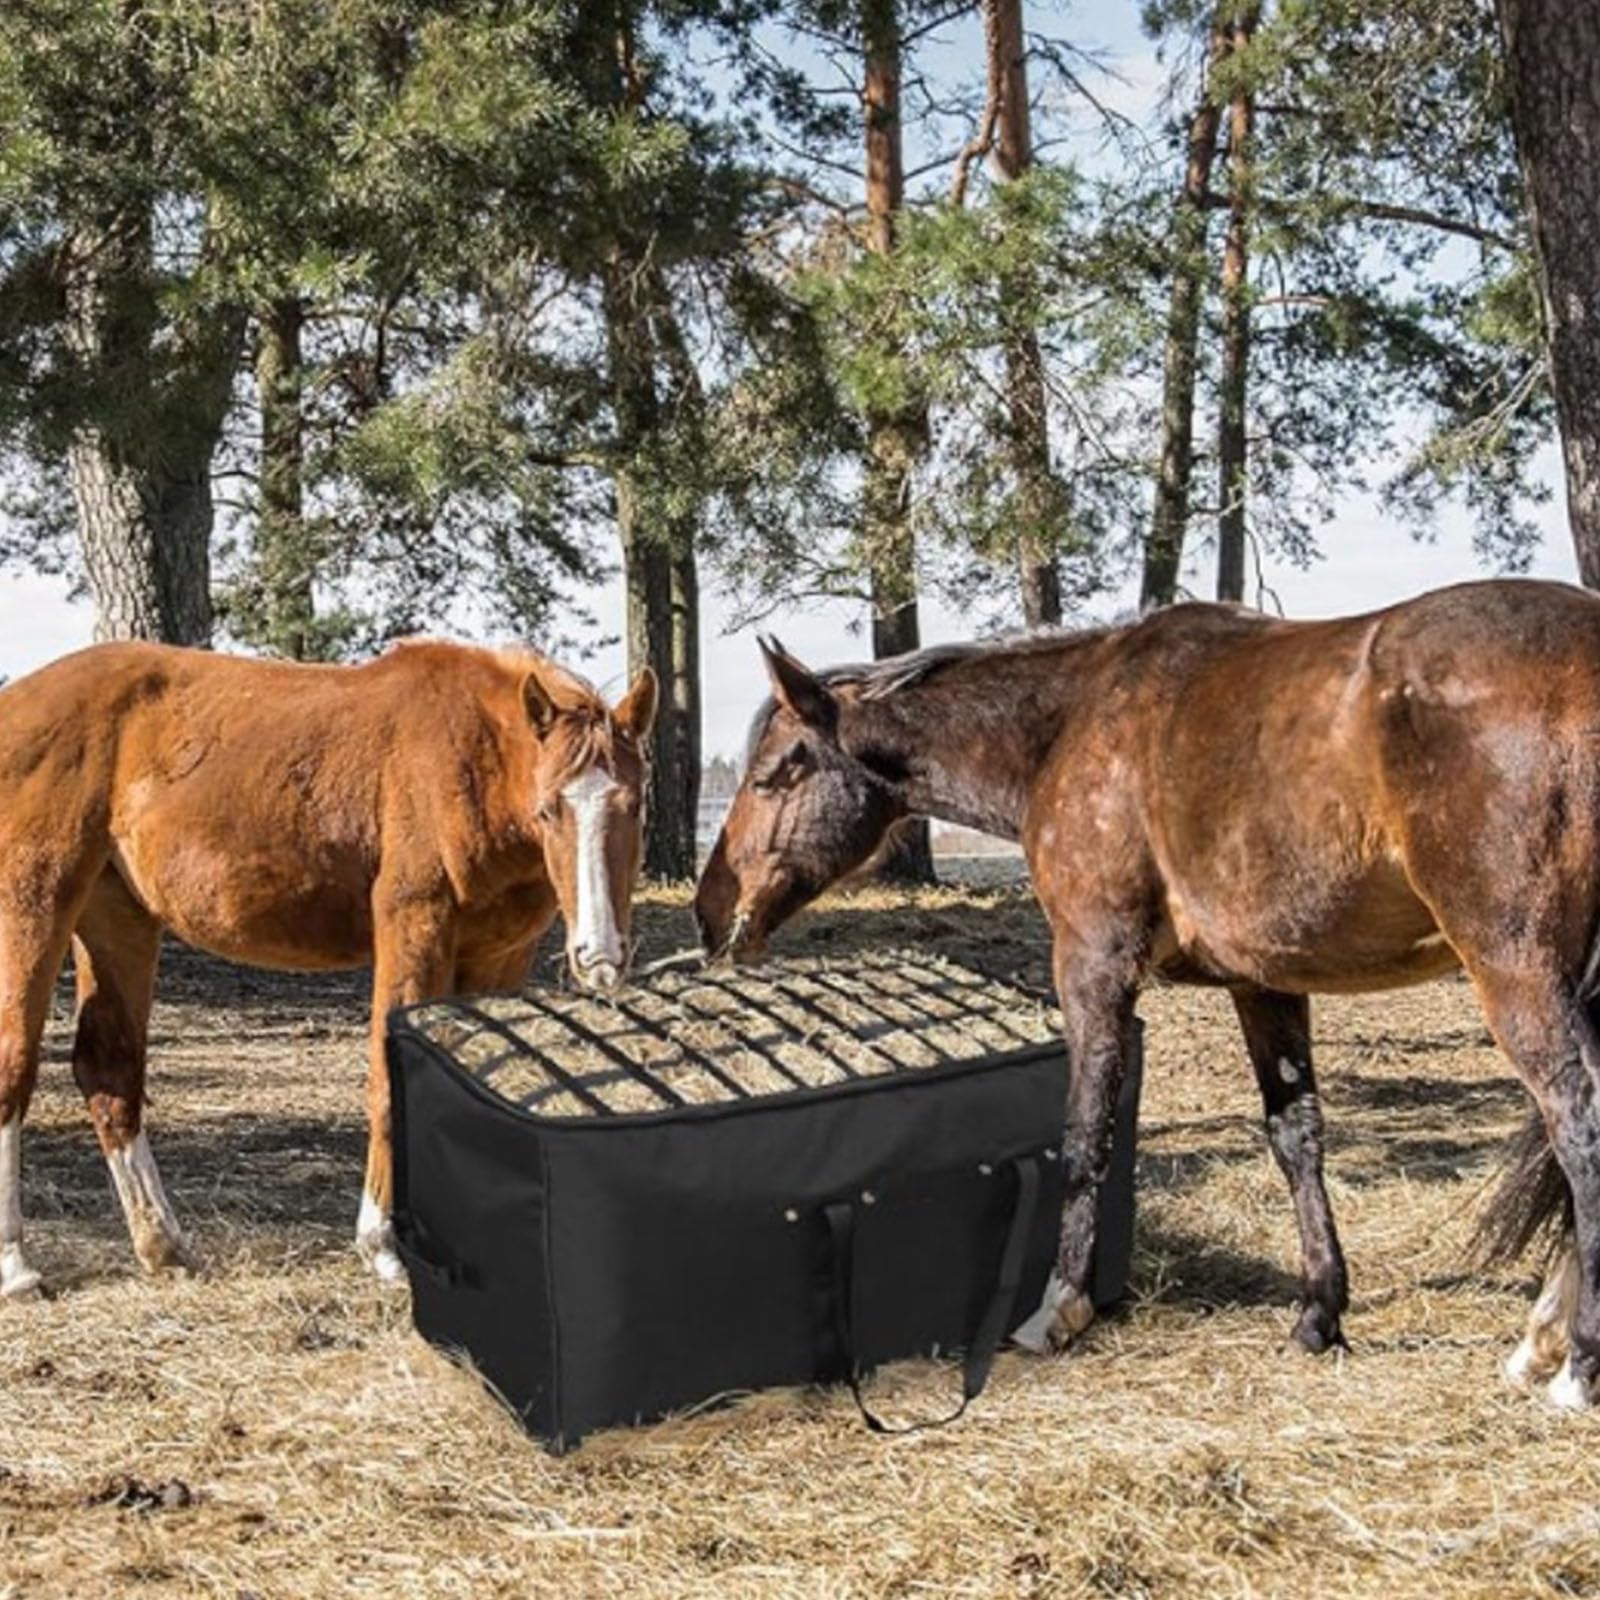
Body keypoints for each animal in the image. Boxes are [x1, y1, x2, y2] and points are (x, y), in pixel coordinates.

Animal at [0, 639, 656, 1294]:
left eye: (636, 807)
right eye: (548, 811)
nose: (599, 956)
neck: (473, 760)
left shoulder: (499, 958)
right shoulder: (414, 927)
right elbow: (389, 1085)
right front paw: (383, 1247)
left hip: (117, 916)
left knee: (109, 1069)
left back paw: (165, 1246)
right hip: (34, 902)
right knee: (15, 1062)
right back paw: (17, 1265)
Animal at [693, 579, 1600, 1409]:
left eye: (778, 772)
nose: (710, 909)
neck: (1069, 723)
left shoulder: (1093, 966)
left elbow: (1084, 1134)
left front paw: (1058, 1310)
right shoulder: (1263, 984)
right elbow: (1296, 1136)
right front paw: (1319, 1313)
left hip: (1516, 970)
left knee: (1577, 1120)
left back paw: (1577, 1366)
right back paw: (1540, 1340)